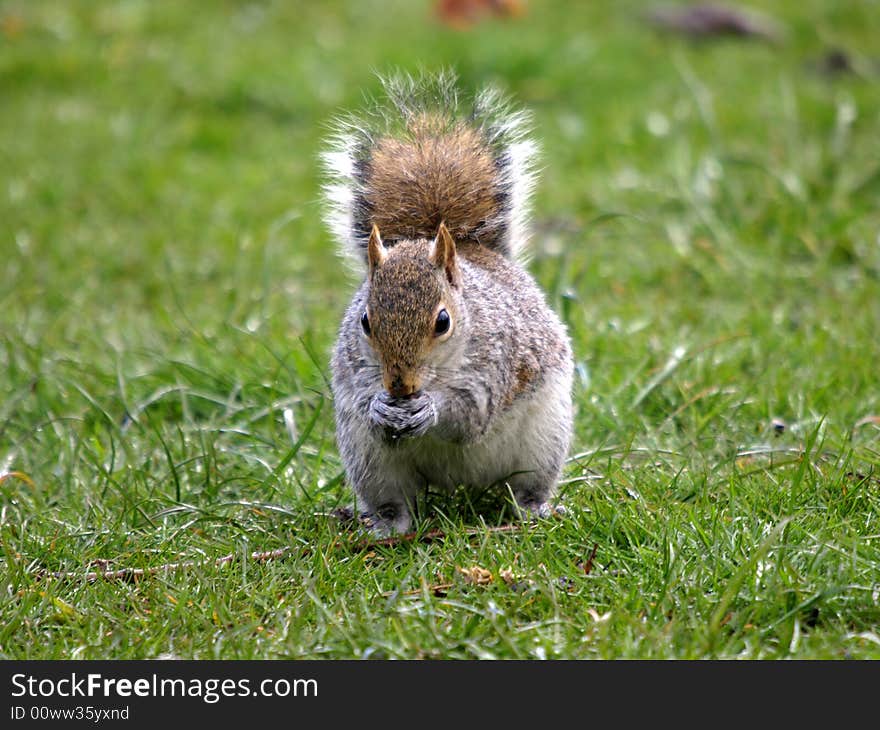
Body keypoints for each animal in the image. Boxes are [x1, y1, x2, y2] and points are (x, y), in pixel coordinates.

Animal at [320, 71, 576, 532]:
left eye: (443, 322)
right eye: (365, 321)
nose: (399, 385)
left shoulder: (494, 365)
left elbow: (469, 414)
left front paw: (430, 410)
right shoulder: (354, 367)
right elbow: (363, 399)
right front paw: (381, 406)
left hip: (544, 443)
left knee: (526, 489)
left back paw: (534, 509)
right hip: (371, 462)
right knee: (394, 502)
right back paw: (384, 525)